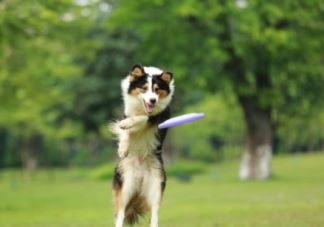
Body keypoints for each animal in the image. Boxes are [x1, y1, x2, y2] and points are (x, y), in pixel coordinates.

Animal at [110, 64, 175, 227]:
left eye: (157, 90)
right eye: (144, 88)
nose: (152, 100)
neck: (141, 106)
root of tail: (140, 180)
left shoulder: (158, 116)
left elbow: (143, 118)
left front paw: (129, 123)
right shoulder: (127, 111)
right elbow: (125, 130)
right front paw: (123, 148)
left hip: (156, 187)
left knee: (154, 214)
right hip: (125, 186)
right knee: (120, 212)